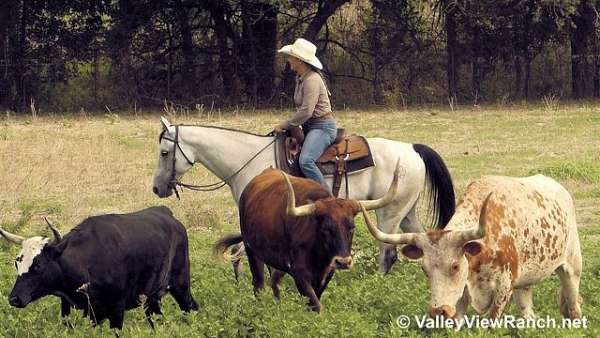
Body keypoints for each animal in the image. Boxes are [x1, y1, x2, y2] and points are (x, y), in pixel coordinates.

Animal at [1, 207, 199, 328]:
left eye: (39, 265)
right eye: (17, 263)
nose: (14, 299)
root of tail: (166, 213)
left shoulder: (117, 309)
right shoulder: (71, 308)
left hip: (180, 285)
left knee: (191, 307)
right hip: (152, 297)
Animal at [213, 166, 400, 312]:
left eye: (351, 227)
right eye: (325, 229)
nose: (343, 262)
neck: (318, 252)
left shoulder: (326, 273)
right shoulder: (300, 274)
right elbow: (316, 305)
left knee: (275, 281)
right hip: (252, 251)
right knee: (258, 284)